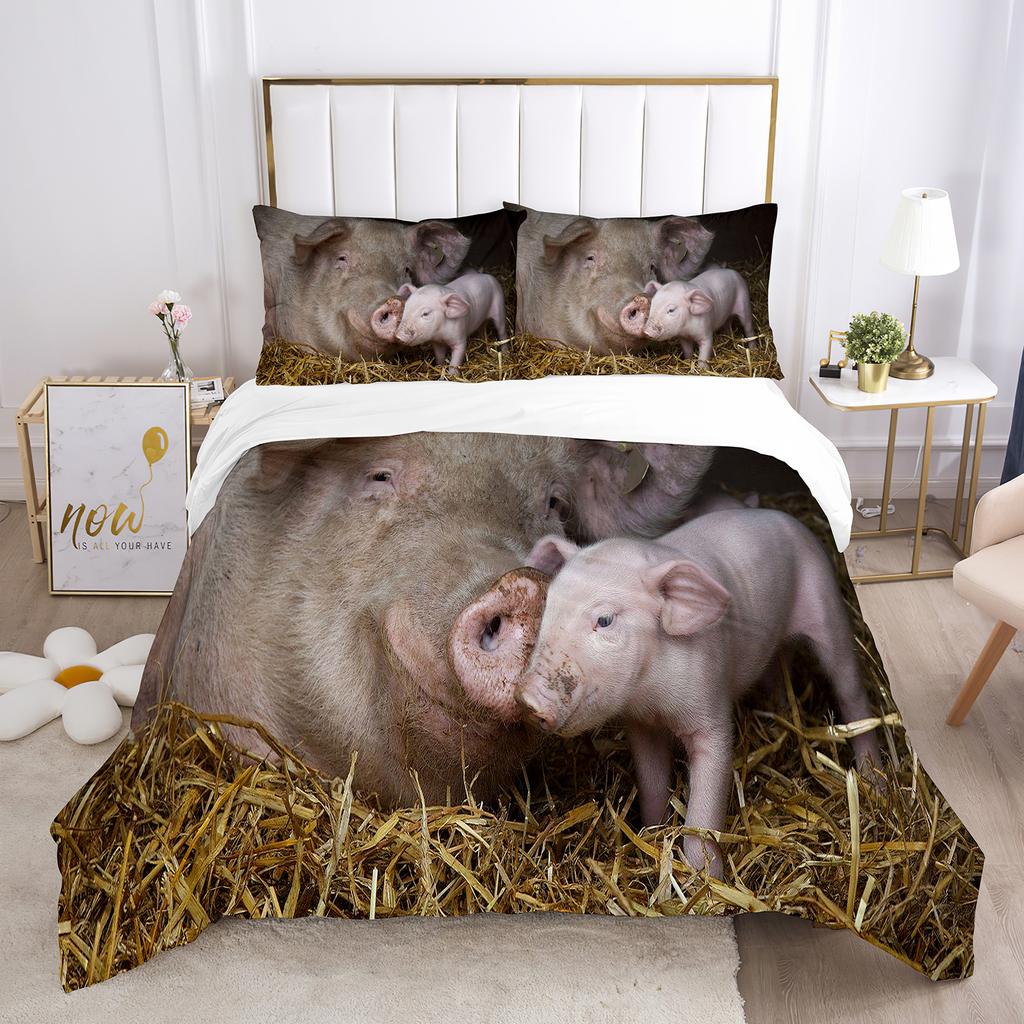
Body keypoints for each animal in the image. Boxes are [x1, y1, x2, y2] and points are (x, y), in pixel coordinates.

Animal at [515, 508, 883, 877]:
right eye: (548, 608)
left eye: (604, 620)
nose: (528, 699)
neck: (651, 695)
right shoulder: (642, 725)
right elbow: (652, 784)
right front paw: (651, 831)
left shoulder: (711, 709)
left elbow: (704, 808)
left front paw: (704, 878)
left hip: (827, 606)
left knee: (850, 689)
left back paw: (870, 775)